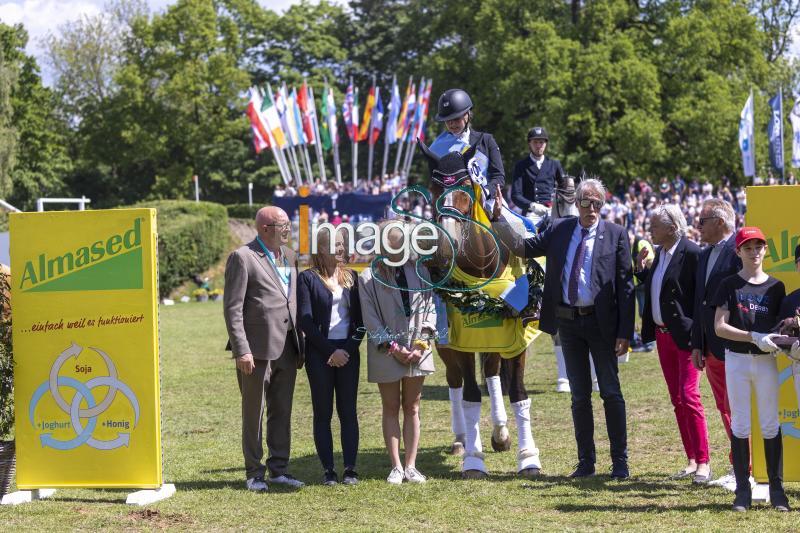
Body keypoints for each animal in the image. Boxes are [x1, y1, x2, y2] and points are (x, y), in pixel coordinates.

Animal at [418, 141, 544, 478]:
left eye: (466, 186)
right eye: (434, 188)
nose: (444, 248)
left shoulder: (516, 338)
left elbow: (518, 393)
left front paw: (528, 458)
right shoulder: (462, 341)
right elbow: (471, 396)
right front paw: (474, 460)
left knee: (491, 373)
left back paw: (500, 433)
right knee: (456, 382)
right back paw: (462, 439)